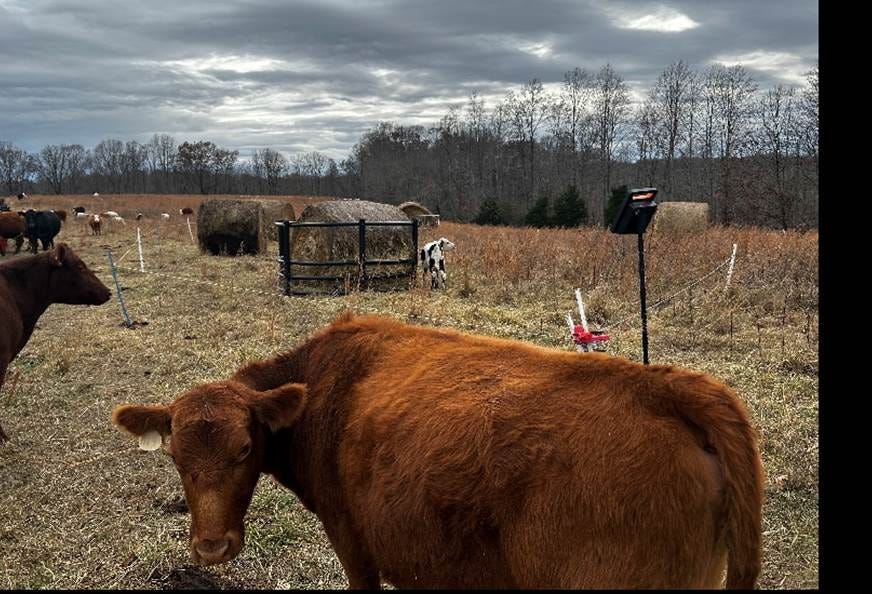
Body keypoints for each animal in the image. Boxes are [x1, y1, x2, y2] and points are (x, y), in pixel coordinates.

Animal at [112, 313, 764, 589]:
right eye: (174, 458)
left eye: (247, 447)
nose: (211, 547)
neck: (322, 380)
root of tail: (663, 385)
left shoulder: (354, 541)